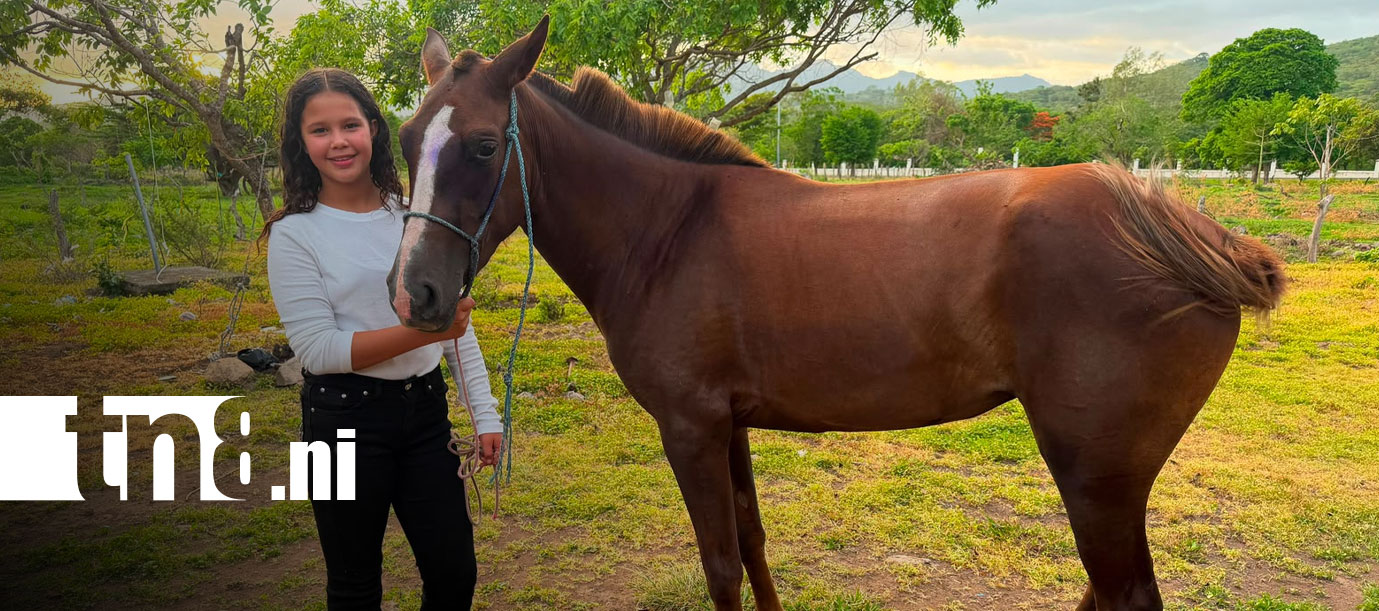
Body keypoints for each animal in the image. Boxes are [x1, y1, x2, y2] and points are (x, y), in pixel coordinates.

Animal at [387, 17, 1286, 611]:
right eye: (402, 138)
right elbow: (751, 547)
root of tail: (1186, 232)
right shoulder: (726, 424)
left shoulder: (688, 428)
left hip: (1096, 474)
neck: (668, 229)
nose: (414, 294)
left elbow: (719, 563)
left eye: (481, 146)